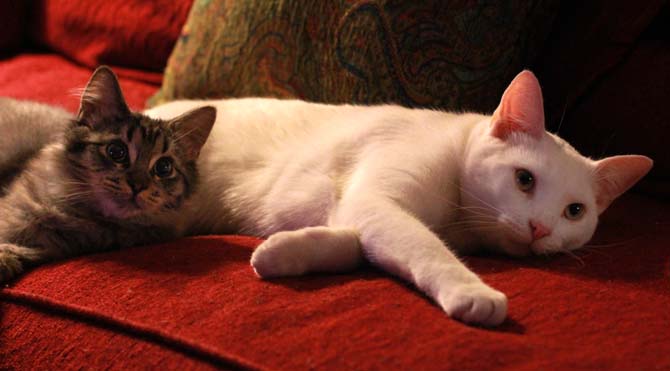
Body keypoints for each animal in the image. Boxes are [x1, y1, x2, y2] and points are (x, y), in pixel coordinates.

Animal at [146, 71, 652, 326]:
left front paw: (284, 252)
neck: (457, 220)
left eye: (574, 212)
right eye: (524, 180)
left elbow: (353, 243)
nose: (541, 228)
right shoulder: (376, 202)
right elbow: (425, 247)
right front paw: (473, 291)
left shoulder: (360, 211)